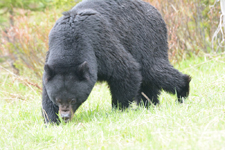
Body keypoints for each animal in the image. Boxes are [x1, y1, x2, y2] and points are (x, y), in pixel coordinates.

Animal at [41, 0, 191, 124]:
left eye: (73, 99)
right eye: (58, 99)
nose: (65, 116)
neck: (68, 39)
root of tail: (155, 10)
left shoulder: (100, 43)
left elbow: (126, 70)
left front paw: (118, 109)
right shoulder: (51, 60)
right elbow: (45, 92)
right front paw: (51, 120)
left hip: (146, 38)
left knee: (153, 69)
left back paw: (182, 91)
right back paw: (149, 104)